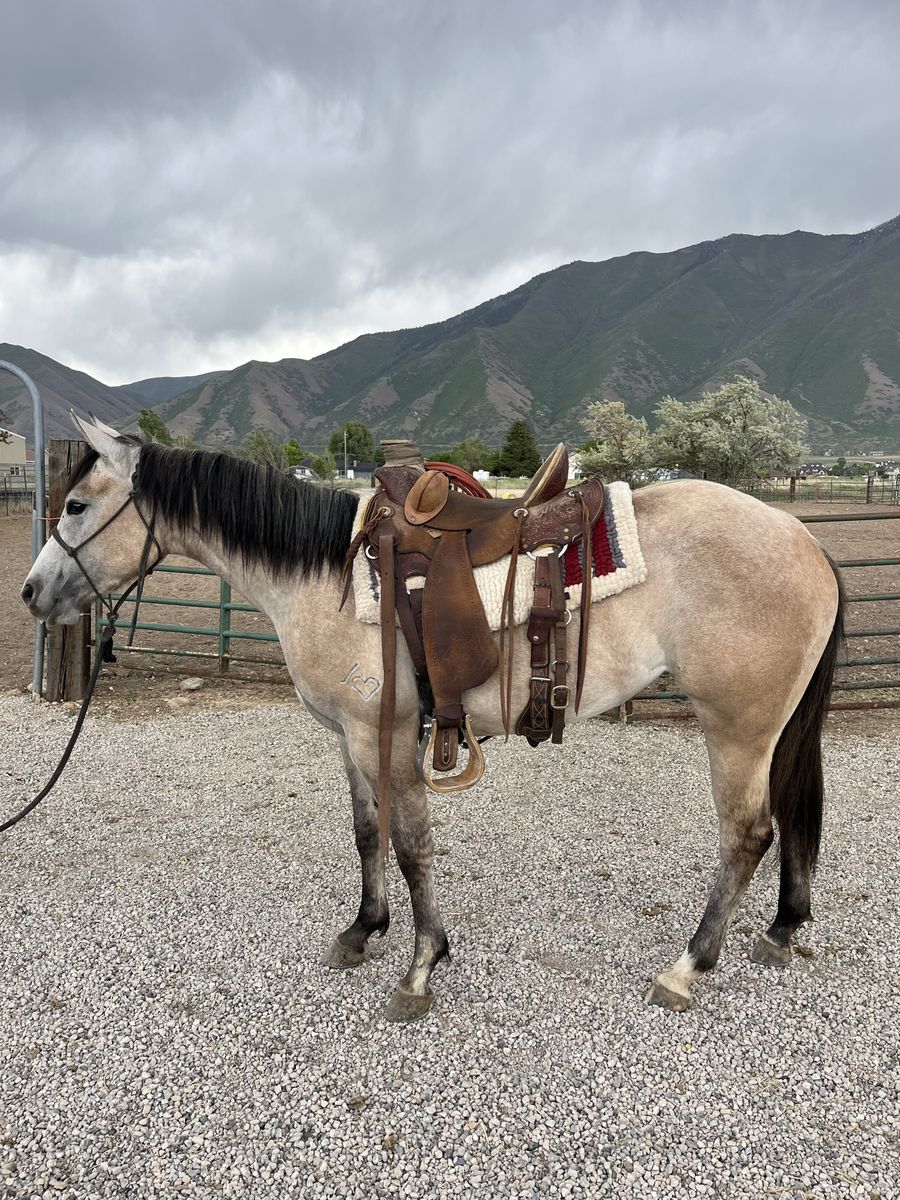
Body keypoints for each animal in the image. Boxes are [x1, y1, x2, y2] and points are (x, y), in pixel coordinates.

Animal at [20, 415, 843, 1023]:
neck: (325, 575)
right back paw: (781, 929)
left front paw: (420, 967)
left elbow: (412, 845)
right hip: (773, 729)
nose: (30, 593)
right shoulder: (350, 737)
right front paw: (363, 930)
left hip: (737, 727)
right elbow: (366, 833)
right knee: (787, 821)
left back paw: (687, 966)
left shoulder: (383, 733)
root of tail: (804, 537)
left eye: (76, 505)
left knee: (748, 834)